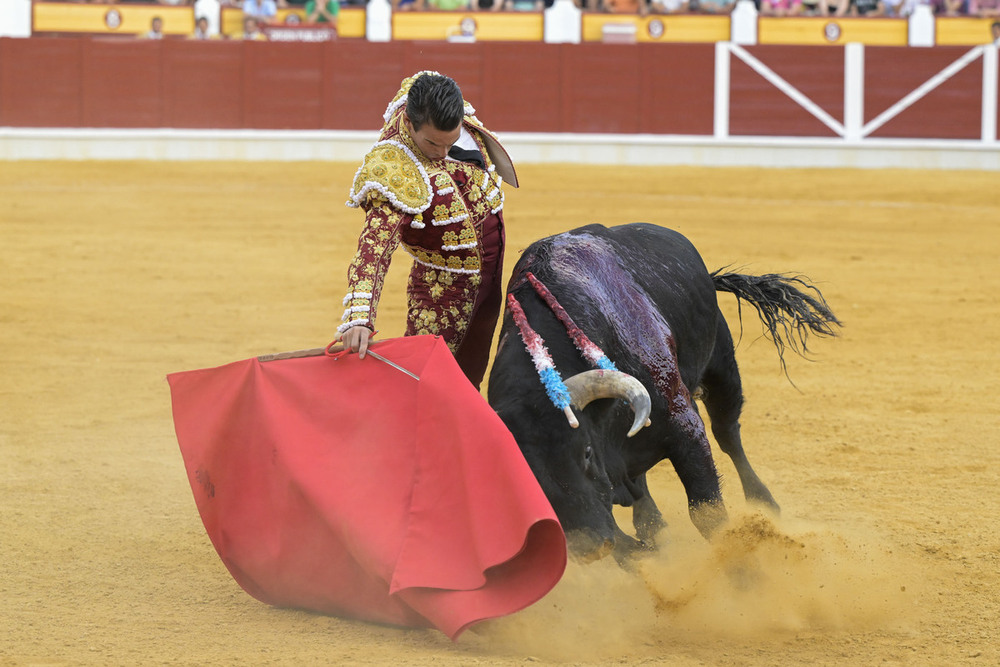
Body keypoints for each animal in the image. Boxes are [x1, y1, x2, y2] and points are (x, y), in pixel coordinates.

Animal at [488, 224, 840, 560]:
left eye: (586, 451)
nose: (588, 548)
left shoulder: (686, 430)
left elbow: (708, 518)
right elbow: (627, 546)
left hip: (722, 368)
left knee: (727, 434)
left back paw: (764, 504)